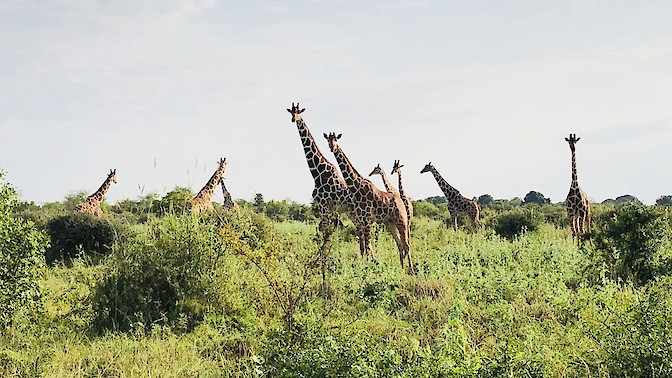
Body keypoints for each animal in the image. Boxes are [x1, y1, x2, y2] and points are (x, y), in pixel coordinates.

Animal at [286, 103, 352, 233]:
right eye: (291, 112)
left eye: (299, 112)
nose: (293, 119)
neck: (318, 172)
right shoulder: (326, 207)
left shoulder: (323, 205)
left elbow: (324, 229)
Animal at [324, 132, 412, 272]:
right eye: (328, 140)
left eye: (336, 139)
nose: (332, 147)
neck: (356, 186)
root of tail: (401, 201)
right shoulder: (362, 221)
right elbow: (365, 248)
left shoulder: (366, 221)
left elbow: (367, 248)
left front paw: (368, 268)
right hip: (390, 223)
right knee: (400, 244)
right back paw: (402, 269)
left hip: (402, 220)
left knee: (407, 244)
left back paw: (411, 270)